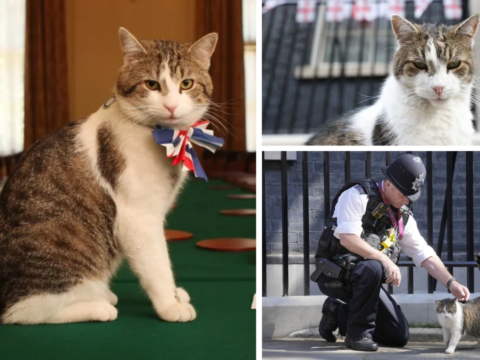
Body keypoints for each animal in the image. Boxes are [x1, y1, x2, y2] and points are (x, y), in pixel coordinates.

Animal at [0, 28, 218, 324]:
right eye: (151, 85)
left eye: (186, 83)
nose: (171, 106)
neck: (163, 136)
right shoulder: (138, 218)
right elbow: (158, 264)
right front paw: (169, 305)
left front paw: (175, 296)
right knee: (23, 311)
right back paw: (98, 305)